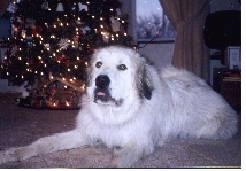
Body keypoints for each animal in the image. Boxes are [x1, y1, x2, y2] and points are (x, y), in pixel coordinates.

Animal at [0, 46, 238, 168]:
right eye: (98, 65)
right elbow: (45, 142)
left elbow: (116, 161)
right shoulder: (87, 133)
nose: (101, 81)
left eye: (122, 67)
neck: (113, 115)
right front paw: (16, 153)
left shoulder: (138, 143)